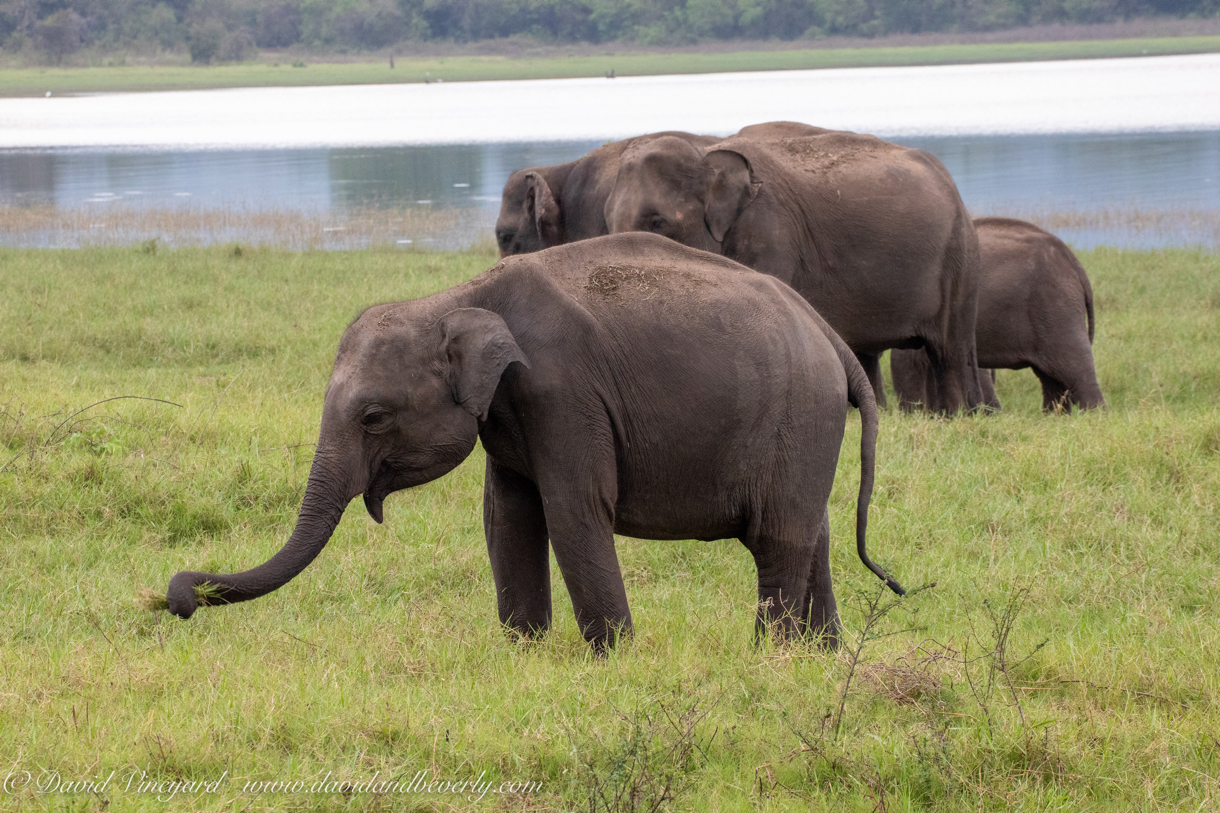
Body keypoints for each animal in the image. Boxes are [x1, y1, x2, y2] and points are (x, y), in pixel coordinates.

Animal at [162, 230, 902, 649]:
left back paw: (767, 655)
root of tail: (830, 336)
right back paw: (820, 655)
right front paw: (524, 652)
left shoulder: (563, 393)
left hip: (798, 416)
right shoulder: (508, 411)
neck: (456, 297)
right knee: (812, 531)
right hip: (805, 427)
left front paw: (616, 658)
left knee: (779, 537)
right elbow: (507, 516)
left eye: (372, 416)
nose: (179, 600)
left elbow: (575, 511)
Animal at [605, 131, 985, 417]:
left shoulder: (770, 233)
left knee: (949, 351)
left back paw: (955, 416)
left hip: (959, 259)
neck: (706, 152)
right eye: (607, 219)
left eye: (657, 222)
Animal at [888, 217, 1107, 412]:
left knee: (1074, 369)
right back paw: (1055, 417)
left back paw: (1093, 416)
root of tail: (1074, 263)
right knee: (1051, 377)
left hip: (1056, 308)